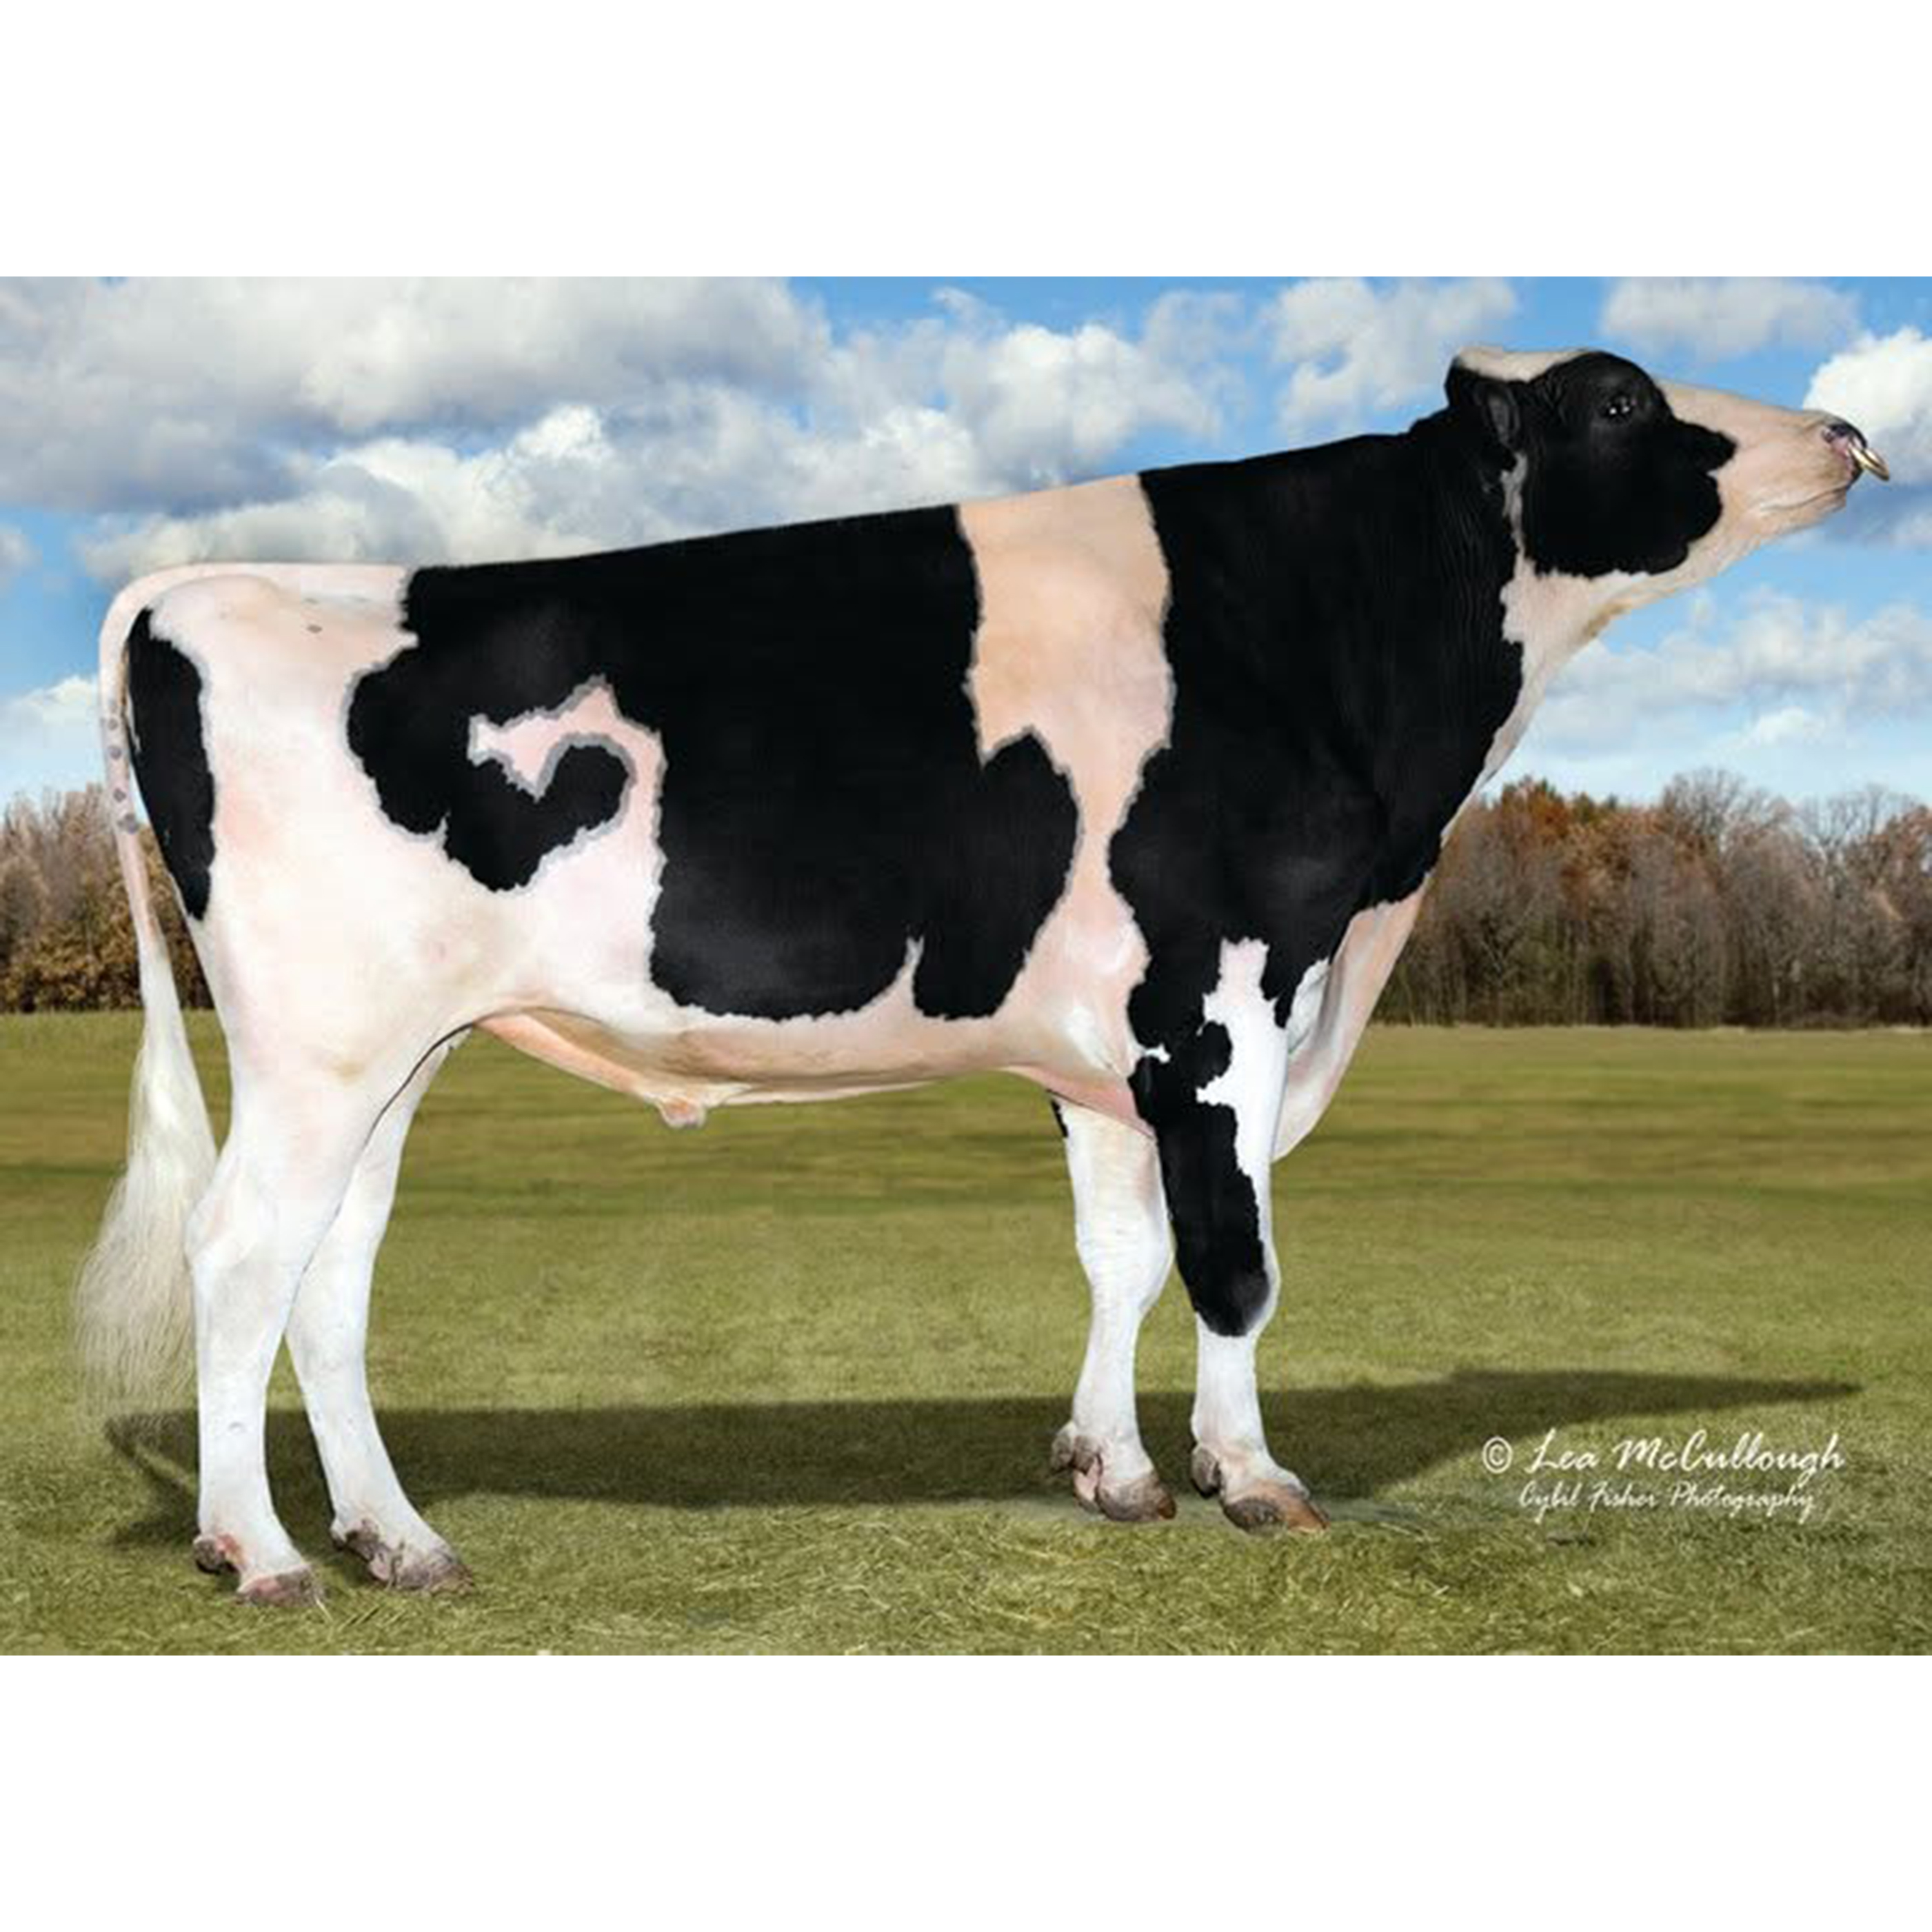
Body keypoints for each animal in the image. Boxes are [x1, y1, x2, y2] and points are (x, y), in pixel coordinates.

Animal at [75, 346, 1887, 1604]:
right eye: (1619, 396)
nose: (1851, 432)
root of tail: (203, 584)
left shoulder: (1110, 1052)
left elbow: (1122, 1256)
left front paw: (1111, 1469)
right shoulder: (1225, 1000)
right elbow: (1234, 1266)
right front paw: (1250, 1479)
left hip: (390, 1050)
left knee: (330, 1276)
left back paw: (399, 1542)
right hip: (318, 1043)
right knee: (241, 1251)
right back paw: (261, 1554)